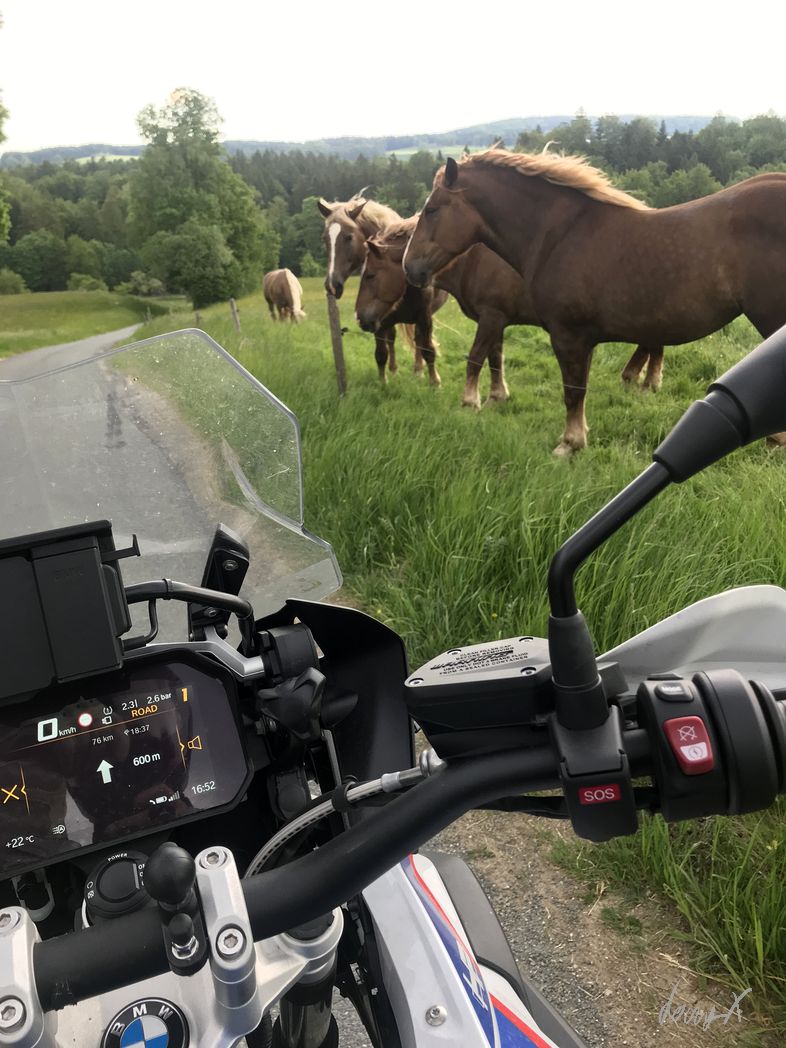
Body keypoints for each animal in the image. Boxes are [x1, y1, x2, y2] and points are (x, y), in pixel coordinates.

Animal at [354, 219, 446, 387]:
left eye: (370, 275)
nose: (359, 318)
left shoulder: (425, 318)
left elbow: (428, 349)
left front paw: (435, 382)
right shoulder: (380, 322)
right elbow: (381, 354)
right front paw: (383, 383)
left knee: (418, 340)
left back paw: (418, 370)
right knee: (392, 341)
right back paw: (394, 370)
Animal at [404, 149, 786, 454]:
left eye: (432, 209)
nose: (411, 267)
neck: (559, 234)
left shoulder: (567, 335)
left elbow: (572, 391)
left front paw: (569, 444)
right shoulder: (579, 338)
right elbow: (578, 390)